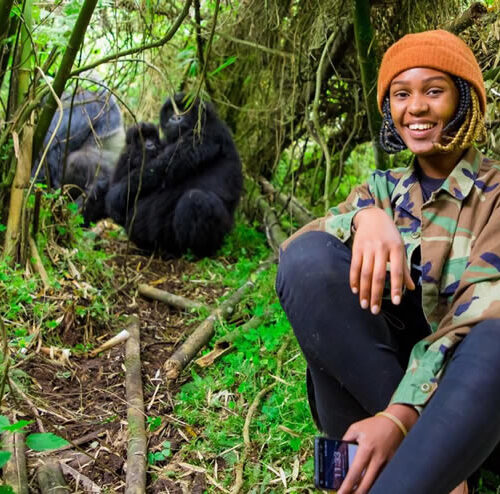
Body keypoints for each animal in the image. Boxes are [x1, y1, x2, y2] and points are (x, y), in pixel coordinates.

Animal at [106, 93, 243, 258]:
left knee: (196, 199)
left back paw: (199, 253)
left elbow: (161, 168)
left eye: (185, 108)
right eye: (171, 110)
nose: (175, 117)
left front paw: (115, 198)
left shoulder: (207, 133)